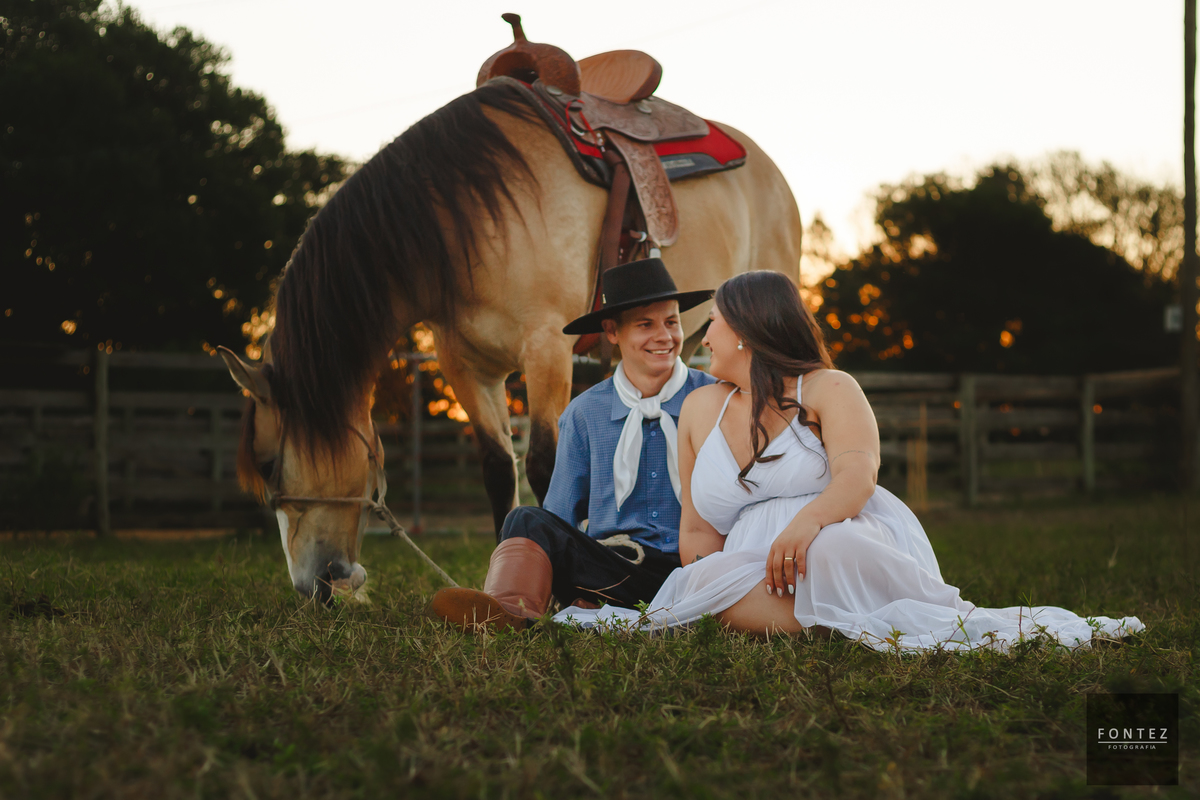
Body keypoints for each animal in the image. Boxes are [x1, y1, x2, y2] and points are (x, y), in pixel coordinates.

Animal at [219, 80, 801, 601]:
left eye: (268, 464)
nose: (309, 585)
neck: (469, 219)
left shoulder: (546, 346)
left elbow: (547, 464)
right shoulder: (465, 366)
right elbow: (499, 467)